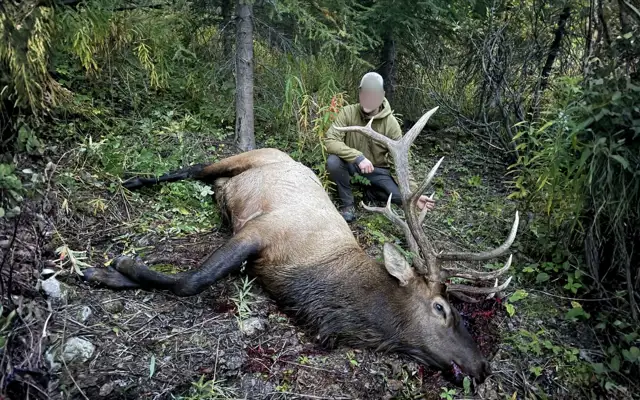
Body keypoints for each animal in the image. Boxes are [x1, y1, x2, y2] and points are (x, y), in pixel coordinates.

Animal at [83, 106, 519, 384]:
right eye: (441, 308)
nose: (483, 367)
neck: (310, 277)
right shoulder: (261, 229)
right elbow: (192, 280)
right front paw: (112, 267)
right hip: (242, 157)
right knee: (194, 166)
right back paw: (133, 180)